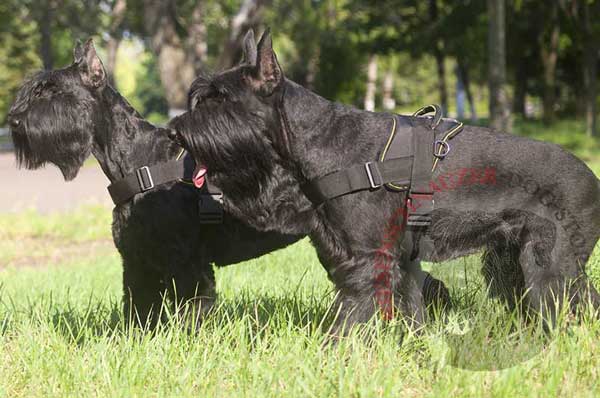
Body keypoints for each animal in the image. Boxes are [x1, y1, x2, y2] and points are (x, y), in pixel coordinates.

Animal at [7, 38, 302, 328]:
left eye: (53, 91)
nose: (14, 119)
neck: (139, 163)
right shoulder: (137, 261)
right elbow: (140, 307)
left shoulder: (186, 262)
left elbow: (191, 310)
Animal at [168, 29, 600, 332]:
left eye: (221, 101)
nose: (174, 132)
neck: (317, 138)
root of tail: (592, 177)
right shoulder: (388, 259)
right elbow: (409, 312)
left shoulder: (367, 258)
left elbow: (348, 317)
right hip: (510, 263)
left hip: (550, 264)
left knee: (578, 301)